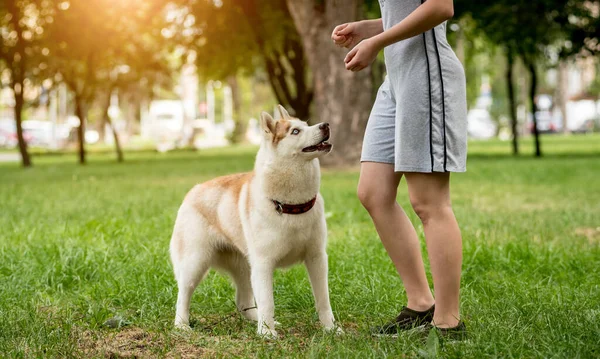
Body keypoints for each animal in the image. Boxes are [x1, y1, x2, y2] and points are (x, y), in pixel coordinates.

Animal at [169, 105, 340, 338]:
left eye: (306, 124)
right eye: (295, 131)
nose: (325, 125)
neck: (292, 206)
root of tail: (193, 190)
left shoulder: (317, 258)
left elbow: (323, 300)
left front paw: (330, 328)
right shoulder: (264, 263)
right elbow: (268, 301)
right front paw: (267, 334)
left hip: (244, 268)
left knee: (243, 302)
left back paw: (255, 318)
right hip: (196, 263)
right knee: (183, 296)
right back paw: (181, 325)